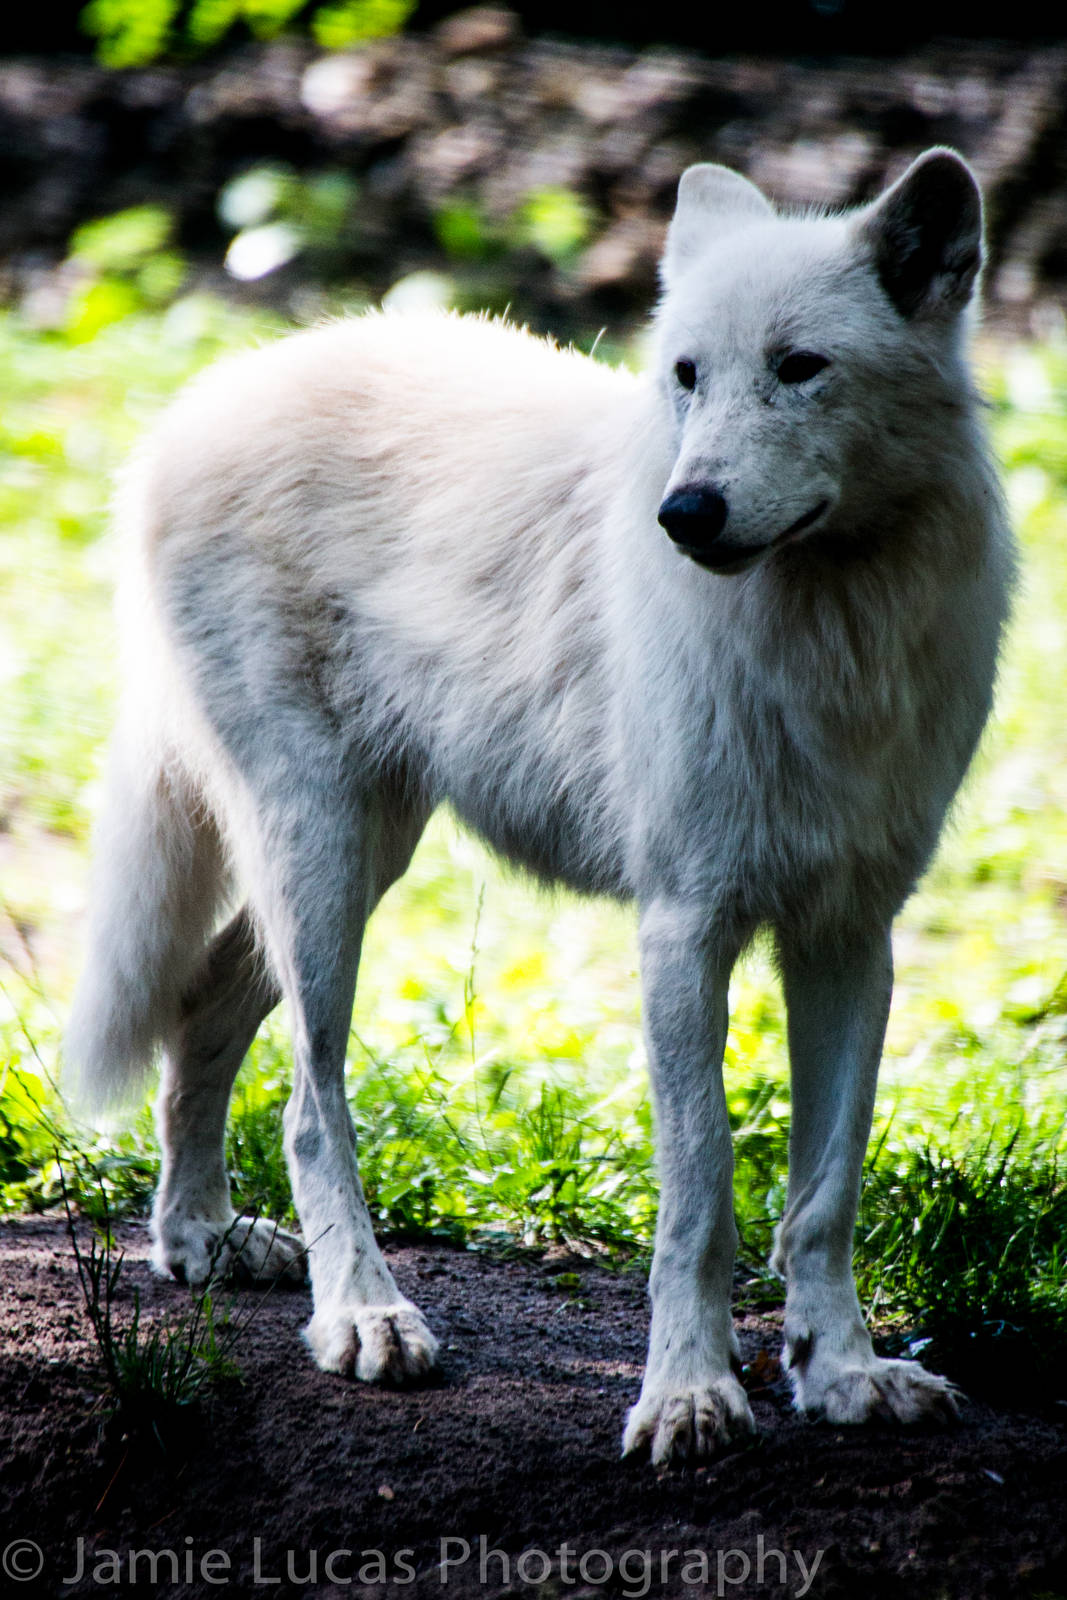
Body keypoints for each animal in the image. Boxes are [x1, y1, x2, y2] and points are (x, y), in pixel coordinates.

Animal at [67, 147, 1014, 1465]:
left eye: (797, 367)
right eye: (685, 376)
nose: (684, 514)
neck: (834, 629)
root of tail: (197, 399)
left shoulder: (847, 934)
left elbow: (824, 1191)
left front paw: (839, 1374)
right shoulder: (682, 926)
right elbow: (702, 1192)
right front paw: (689, 1395)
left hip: (359, 854)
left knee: (204, 1004)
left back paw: (198, 1239)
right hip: (322, 856)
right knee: (309, 1106)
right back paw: (362, 1315)